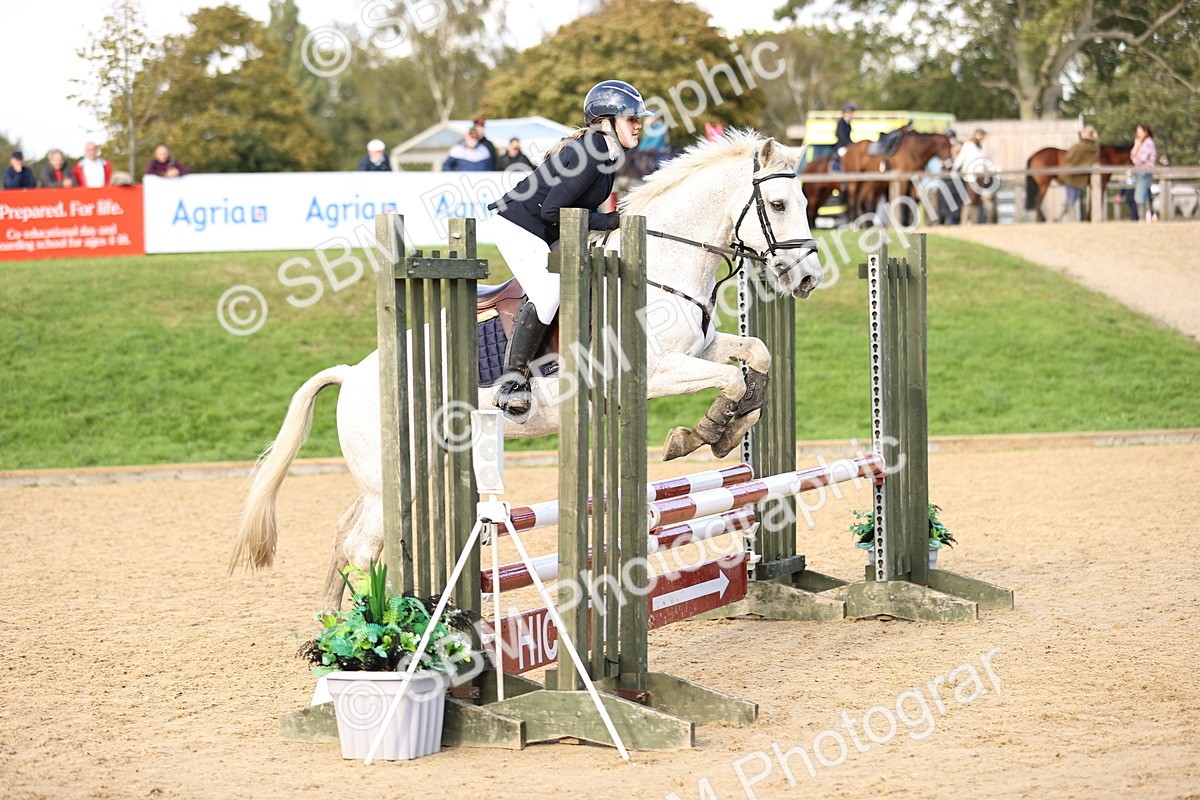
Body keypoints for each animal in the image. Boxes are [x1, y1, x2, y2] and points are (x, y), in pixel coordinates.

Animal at [230, 131, 825, 609]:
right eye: (778, 203)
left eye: (805, 200)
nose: (808, 279)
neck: (664, 266)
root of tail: (353, 374)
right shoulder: (655, 370)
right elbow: (731, 380)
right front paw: (704, 431)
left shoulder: (699, 351)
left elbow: (756, 356)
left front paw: (731, 428)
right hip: (389, 478)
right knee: (362, 544)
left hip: (406, 473)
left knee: (346, 531)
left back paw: (330, 623)